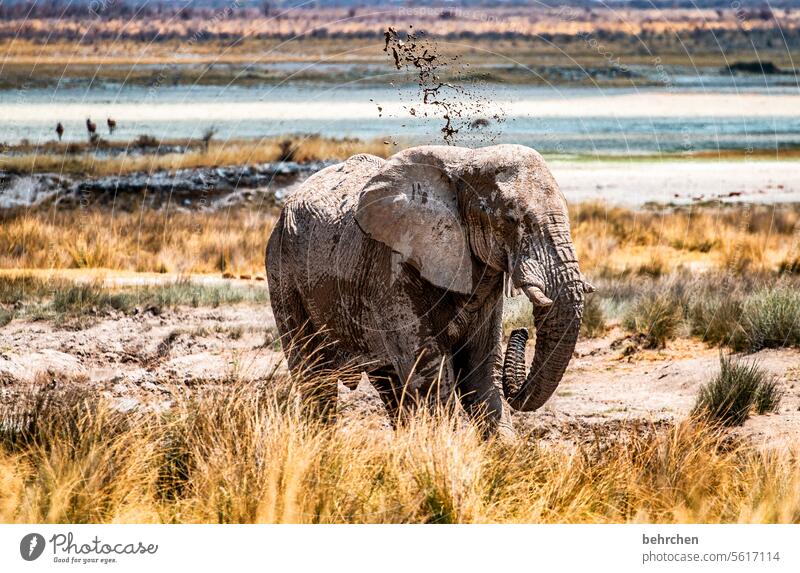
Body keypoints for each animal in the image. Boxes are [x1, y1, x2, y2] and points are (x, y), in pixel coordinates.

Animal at [266, 143, 592, 434]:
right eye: (512, 220)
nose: (521, 332)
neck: (468, 160)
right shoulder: (391, 271)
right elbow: (431, 375)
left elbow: (480, 373)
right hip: (282, 270)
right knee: (314, 377)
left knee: (390, 387)